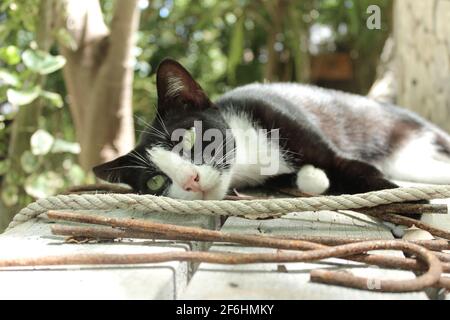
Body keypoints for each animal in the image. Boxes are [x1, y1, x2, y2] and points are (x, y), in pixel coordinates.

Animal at [92, 58, 450, 200]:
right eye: (154, 181)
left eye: (187, 139)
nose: (190, 180)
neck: (252, 157)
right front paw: (312, 179)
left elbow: (354, 169)